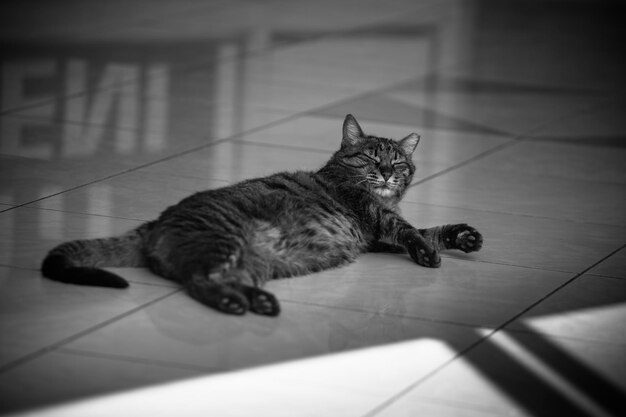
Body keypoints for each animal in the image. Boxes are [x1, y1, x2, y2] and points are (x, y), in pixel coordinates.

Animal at [42, 114, 482, 316]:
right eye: (372, 158)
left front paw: (462, 236)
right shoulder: (375, 220)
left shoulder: (376, 239)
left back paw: (259, 300)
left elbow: (429, 229)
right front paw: (429, 252)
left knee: (223, 279)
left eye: (400, 163)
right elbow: (411, 231)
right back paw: (235, 303)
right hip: (226, 241)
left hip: (250, 260)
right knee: (199, 281)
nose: (389, 173)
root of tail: (155, 223)